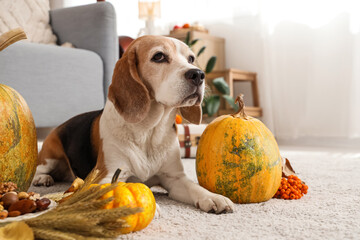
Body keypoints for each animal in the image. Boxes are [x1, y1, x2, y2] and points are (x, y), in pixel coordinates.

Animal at [32, 36, 235, 214]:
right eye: (159, 56)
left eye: (191, 58)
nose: (198, 74)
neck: (149, 132)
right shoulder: (106, 175)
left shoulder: (175, 179)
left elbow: (194, 187)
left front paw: (213, 197)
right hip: (50, 155)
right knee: (39, 167)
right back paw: (42, 178)